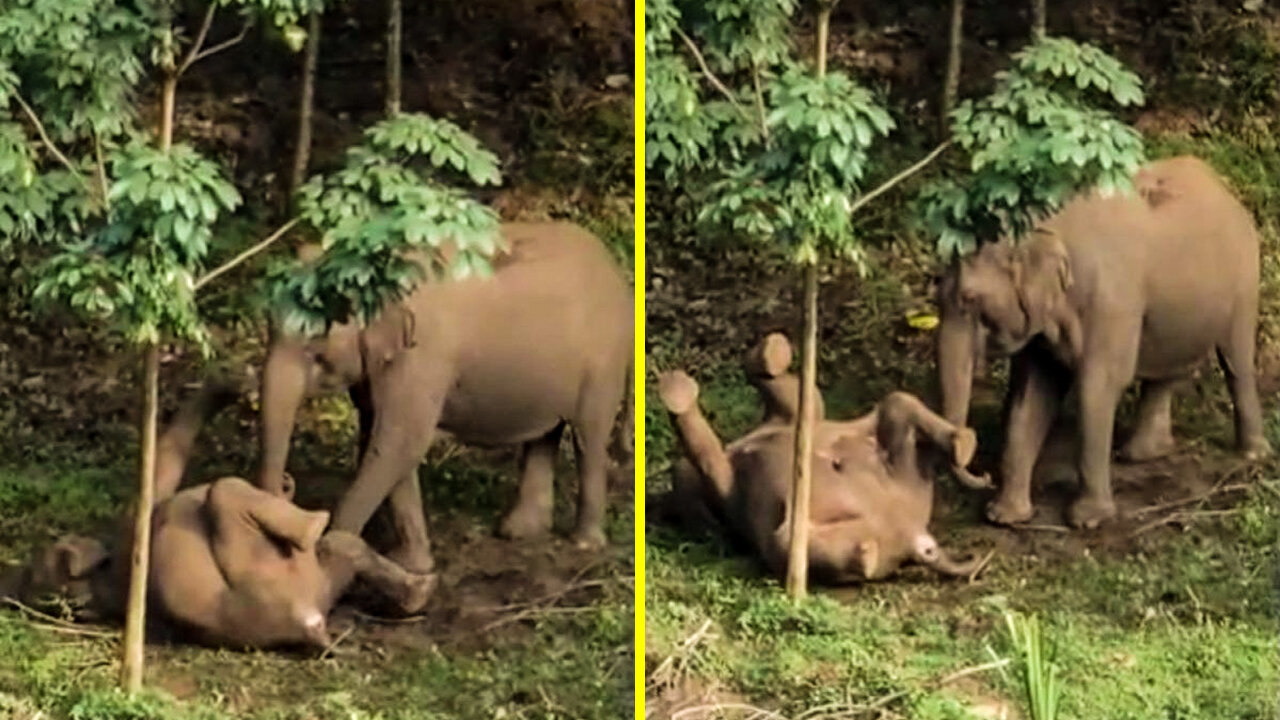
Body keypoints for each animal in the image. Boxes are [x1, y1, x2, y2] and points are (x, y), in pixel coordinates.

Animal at [2, 384, 437, 648]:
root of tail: (307, 625)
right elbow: (159, 481)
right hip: (272, 575)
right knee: (227, 491)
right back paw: (317, 522)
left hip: (311, 584)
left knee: (342, 550)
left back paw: (414, 591)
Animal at [258, 220, 634, 571]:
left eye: (315, 350)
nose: (288, 484)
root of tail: (618, 274)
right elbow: (382, 442)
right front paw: (411, 565)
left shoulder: (423, 357)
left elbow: (399, 441)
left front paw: (333, 554)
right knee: (545, 436)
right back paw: (518, 532)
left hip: (603, 362)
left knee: (588, 437)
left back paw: (583, 544)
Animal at [936, 154, 1274, 527]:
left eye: (968, 299)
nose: (983, 476)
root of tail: (1223, 187)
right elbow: (1030, 393)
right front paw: (1004, 517)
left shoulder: (1111, 301)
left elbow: (1098, 385)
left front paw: (1086, 520)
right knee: (1166, 368)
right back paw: (1142, 454)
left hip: (1245, 280)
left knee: (1236, 361)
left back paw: (1252, 454)